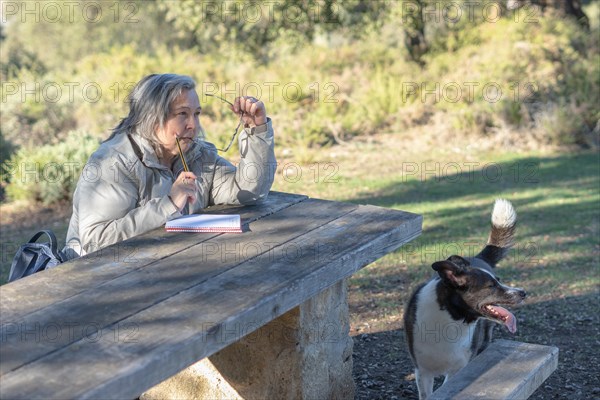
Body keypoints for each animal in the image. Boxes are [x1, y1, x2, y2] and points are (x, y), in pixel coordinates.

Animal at [404, 198, 524, 398]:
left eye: (498, 280)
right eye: (491, 286)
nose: (523, 292)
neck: (451, 318)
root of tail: (476, 257)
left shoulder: (458, 369)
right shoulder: (422, 372)